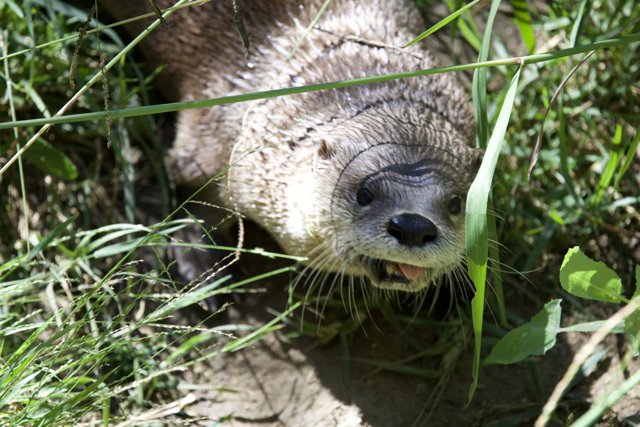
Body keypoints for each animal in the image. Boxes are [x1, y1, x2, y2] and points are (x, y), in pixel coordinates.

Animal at [101, 0, 480, 292]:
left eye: (456, 203)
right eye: (364, 193)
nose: (414, 228)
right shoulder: (210, 137)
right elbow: (193, 192)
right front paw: (199, 263)